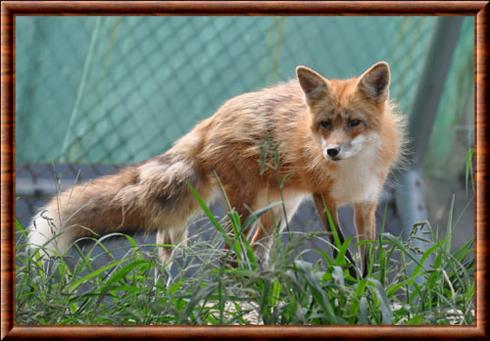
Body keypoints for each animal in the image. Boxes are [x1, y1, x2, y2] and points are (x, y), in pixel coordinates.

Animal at [27, 61, 402, 274]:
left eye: (354, 123)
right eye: (325, 124)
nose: (331, 152)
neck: (353, 170)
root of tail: (212, 119)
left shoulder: (366, 203)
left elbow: (368, 254)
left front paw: (368, 288)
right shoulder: (325, 198)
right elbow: (341, 248)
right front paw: (351, 285)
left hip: (279, 209)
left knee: (254, 250)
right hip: (248, 206)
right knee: (230, 255)